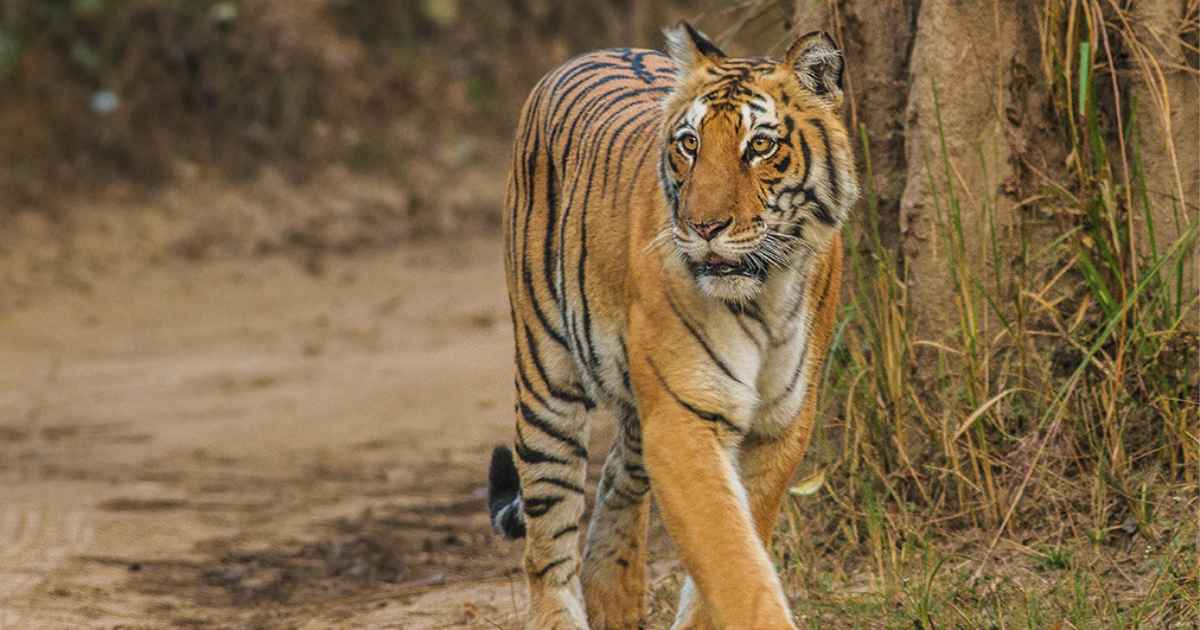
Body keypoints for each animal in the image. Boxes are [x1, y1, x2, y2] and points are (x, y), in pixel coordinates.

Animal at [487, 21, 858, 630]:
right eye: (690, 144)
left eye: (760, 146)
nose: (704, 226)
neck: (766, 293)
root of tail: (591, 52)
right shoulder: (683, 420)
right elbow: (734, 561)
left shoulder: (780, 425)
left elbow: (735, 549)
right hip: (547, 379)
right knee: (548, 546)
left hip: (637, 409)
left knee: (615, 485)